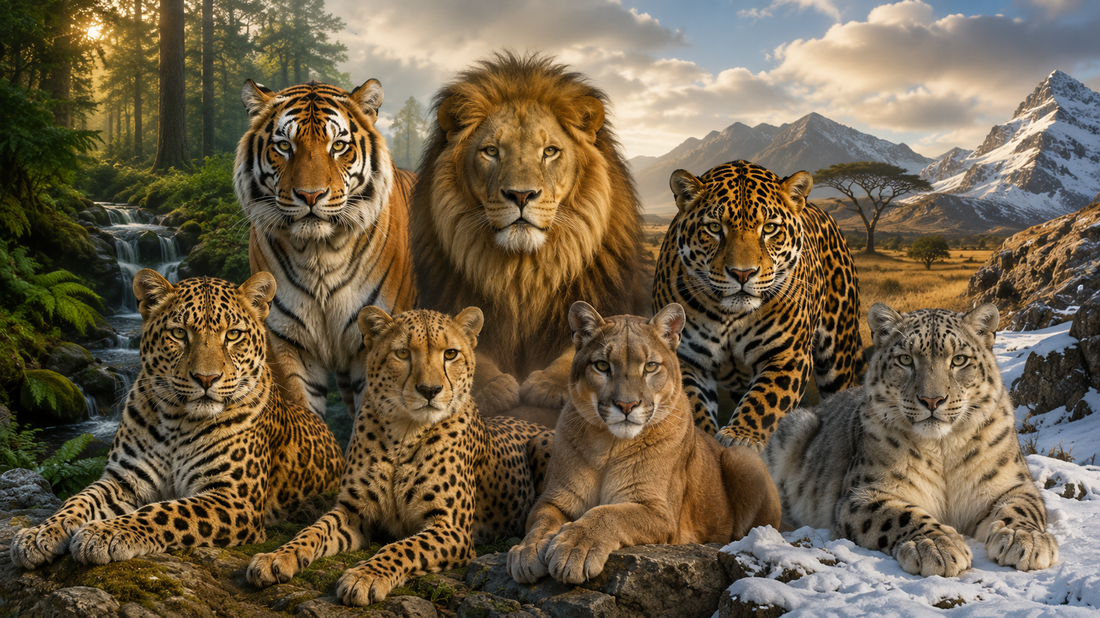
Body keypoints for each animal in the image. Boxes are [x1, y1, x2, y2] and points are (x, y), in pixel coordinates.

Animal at [10, 270, 344, 568]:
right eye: (179, 333)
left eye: (233, 335)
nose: (206, 378)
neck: (177, 423)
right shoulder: (125, 478)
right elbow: (79, 500)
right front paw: (40, 532)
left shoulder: (234, 497)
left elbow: (165, 511)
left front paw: (105, 533)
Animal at [247, 306, 554, 606]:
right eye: (403, 353)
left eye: (450, 354)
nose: (430, 390)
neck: (405, 432)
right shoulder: (353, 510)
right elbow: (313, 530)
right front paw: (277, 556)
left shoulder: (450, 527)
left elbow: (403, 547)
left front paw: (365, 576)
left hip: (543, 442)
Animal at [508, 301, 781, 585]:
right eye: (602, 365)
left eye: (650, 366)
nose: (626, 405)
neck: (610, 445)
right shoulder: (555, 499)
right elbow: (540, 522)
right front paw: (526, 551)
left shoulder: (660, 512)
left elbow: (608, 514)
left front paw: (574, 549)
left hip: (742, 456)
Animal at [652, 159, 865, 450]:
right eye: (715, 228)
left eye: (769, 228)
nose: (742, 274)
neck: (730, 315)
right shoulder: (685, 359)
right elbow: (690, 407)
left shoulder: (787, 354)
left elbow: (764, 402)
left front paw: (740, 437)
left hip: (839, 354)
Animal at [762, 302, 1058, 577]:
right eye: (905, 359)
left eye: (959, 360)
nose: (932, 400)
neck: (943, 450)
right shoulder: (864, 493)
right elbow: (899, 515)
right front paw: (938, 545)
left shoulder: (1011, 483)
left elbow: (1022, 507)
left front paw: (1026, 540)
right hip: (793, 430)